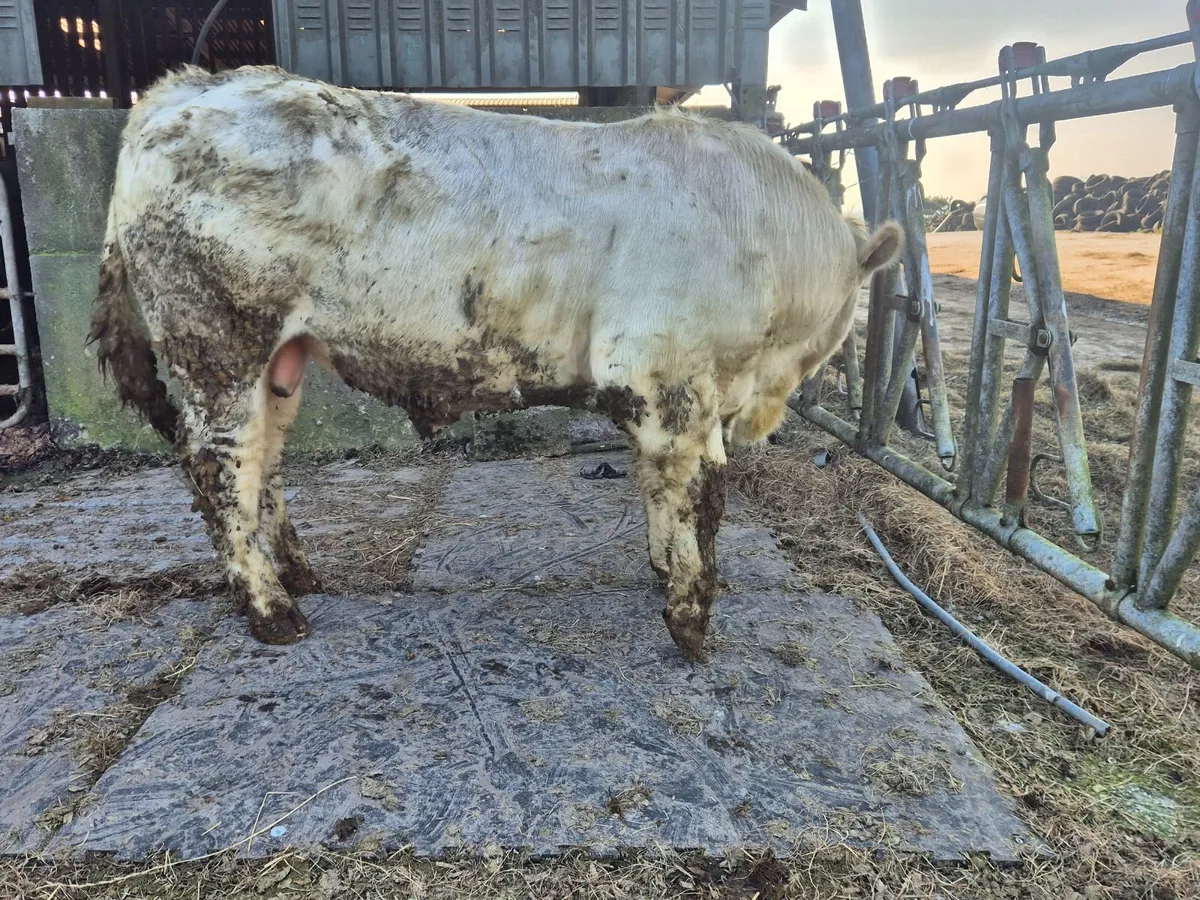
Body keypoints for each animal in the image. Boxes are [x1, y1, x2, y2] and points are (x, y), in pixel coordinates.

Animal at [89, 65, 903, 661]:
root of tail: (187, 88)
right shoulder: (668, 377)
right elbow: (699, 497)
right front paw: (691, 618)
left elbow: (656, 486)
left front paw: (662, 569)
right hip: (217, 341)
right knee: (221, 466)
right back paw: (271, 610)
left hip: (279, 359)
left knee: (266, 463)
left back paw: (299, 573)